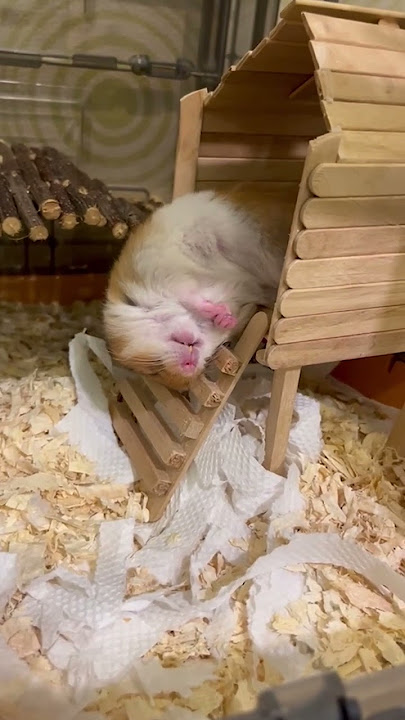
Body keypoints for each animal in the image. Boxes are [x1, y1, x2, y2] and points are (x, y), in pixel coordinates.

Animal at [103, 183, 295, 391]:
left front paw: (219, 313)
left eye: (152, 370)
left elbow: (189, 295)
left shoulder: (162, 269)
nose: (189, 368)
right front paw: (226, 319)